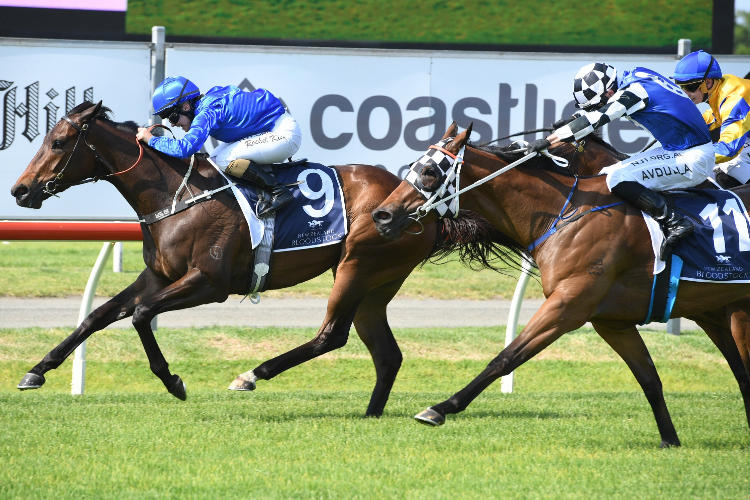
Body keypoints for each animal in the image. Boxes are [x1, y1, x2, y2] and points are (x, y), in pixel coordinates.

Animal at [11, 102, 520, 418]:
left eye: (58, 143)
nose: (20, 189)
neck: (177, 195)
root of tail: (425, 207)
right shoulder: (158, 275)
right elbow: (98, 315)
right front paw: (36, 370)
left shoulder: (209, 283)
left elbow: (139, 315)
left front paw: (173, 381)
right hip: (378, 283)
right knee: (386, 353)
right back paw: (372, 414)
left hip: (358, 265)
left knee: (331, 336)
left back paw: (252, 376)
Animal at [374, 123, 750, 448]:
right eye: (413, 166)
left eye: (429, 171)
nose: (382, 215)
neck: (566, 211)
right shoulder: (611, 322)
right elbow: (649, 379)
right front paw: (669, 440)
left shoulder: (569, 304)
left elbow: (506, 357)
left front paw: (439, 408)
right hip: (717, 312)